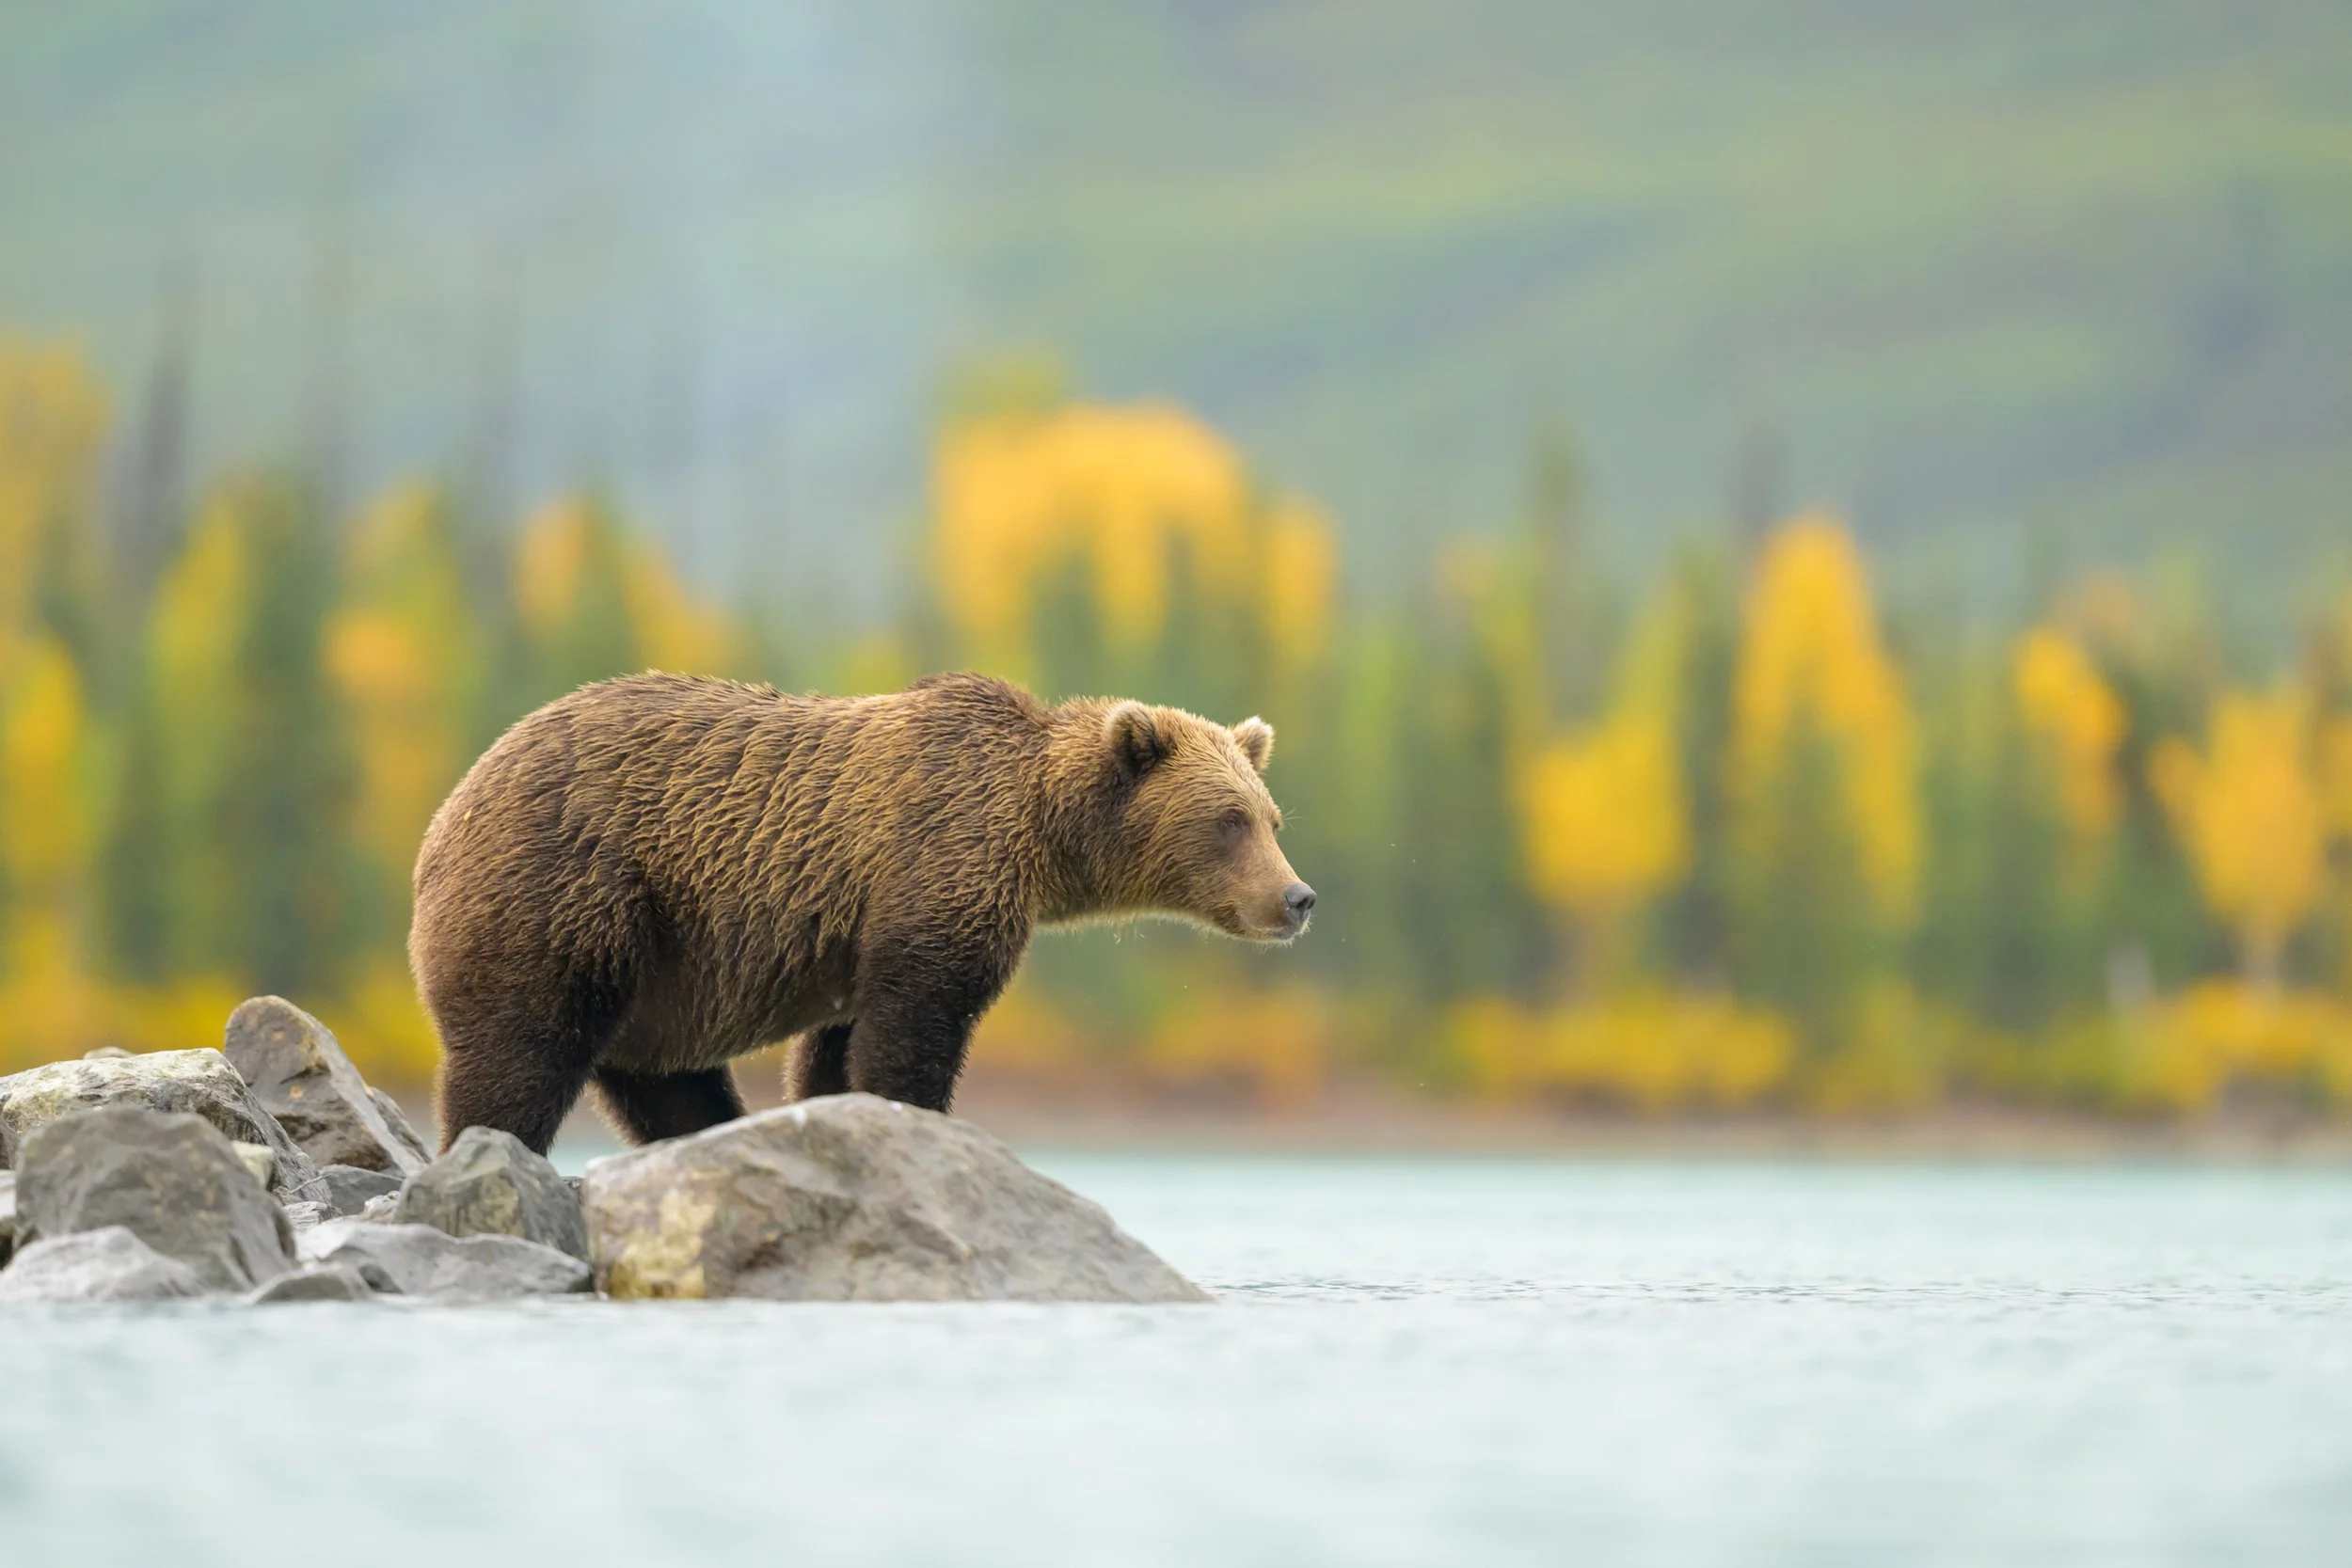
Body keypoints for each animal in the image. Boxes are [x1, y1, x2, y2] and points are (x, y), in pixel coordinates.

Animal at [408, 671, 1314, 1153]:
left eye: (1271, 818)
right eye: (1228, 818)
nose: (1298, 897)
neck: (1038, 832)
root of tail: (443, 819)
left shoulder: (861, 929)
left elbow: (837, 1050)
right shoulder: (938, 862)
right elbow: (916, 1025)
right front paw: (918, 1114)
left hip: (653, 976)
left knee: (666, 1085)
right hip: (568, 894)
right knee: (520, 1054)